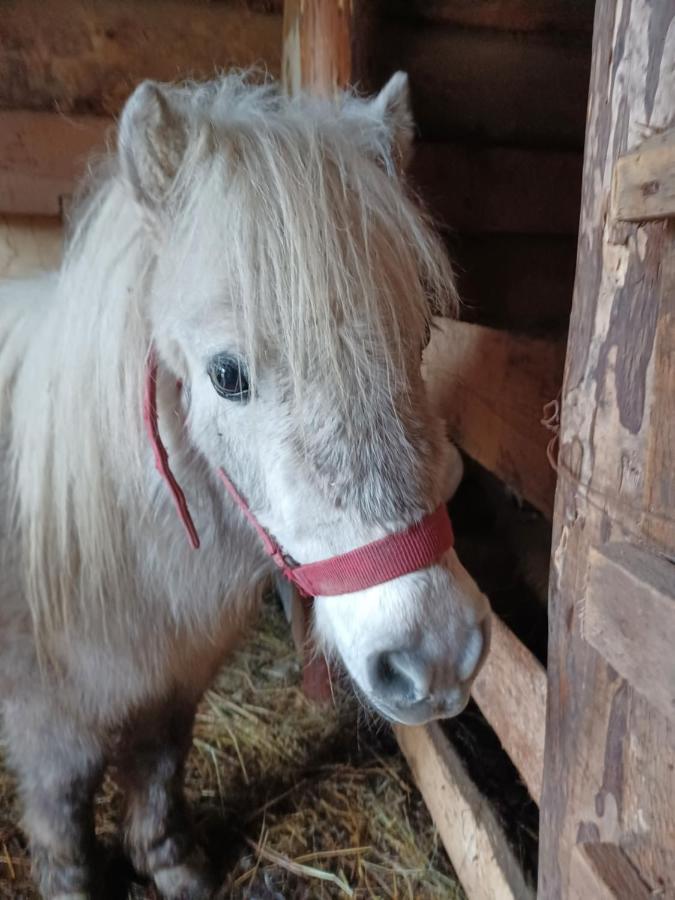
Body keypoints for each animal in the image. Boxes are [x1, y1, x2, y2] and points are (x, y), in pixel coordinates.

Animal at [0, 72, 488, 900]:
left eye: (420, 338)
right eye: (227, 374)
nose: (438, 655)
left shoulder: (174, 679)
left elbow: (161, 767)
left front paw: (172, 865)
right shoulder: (49, 724)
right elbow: (63, 819)